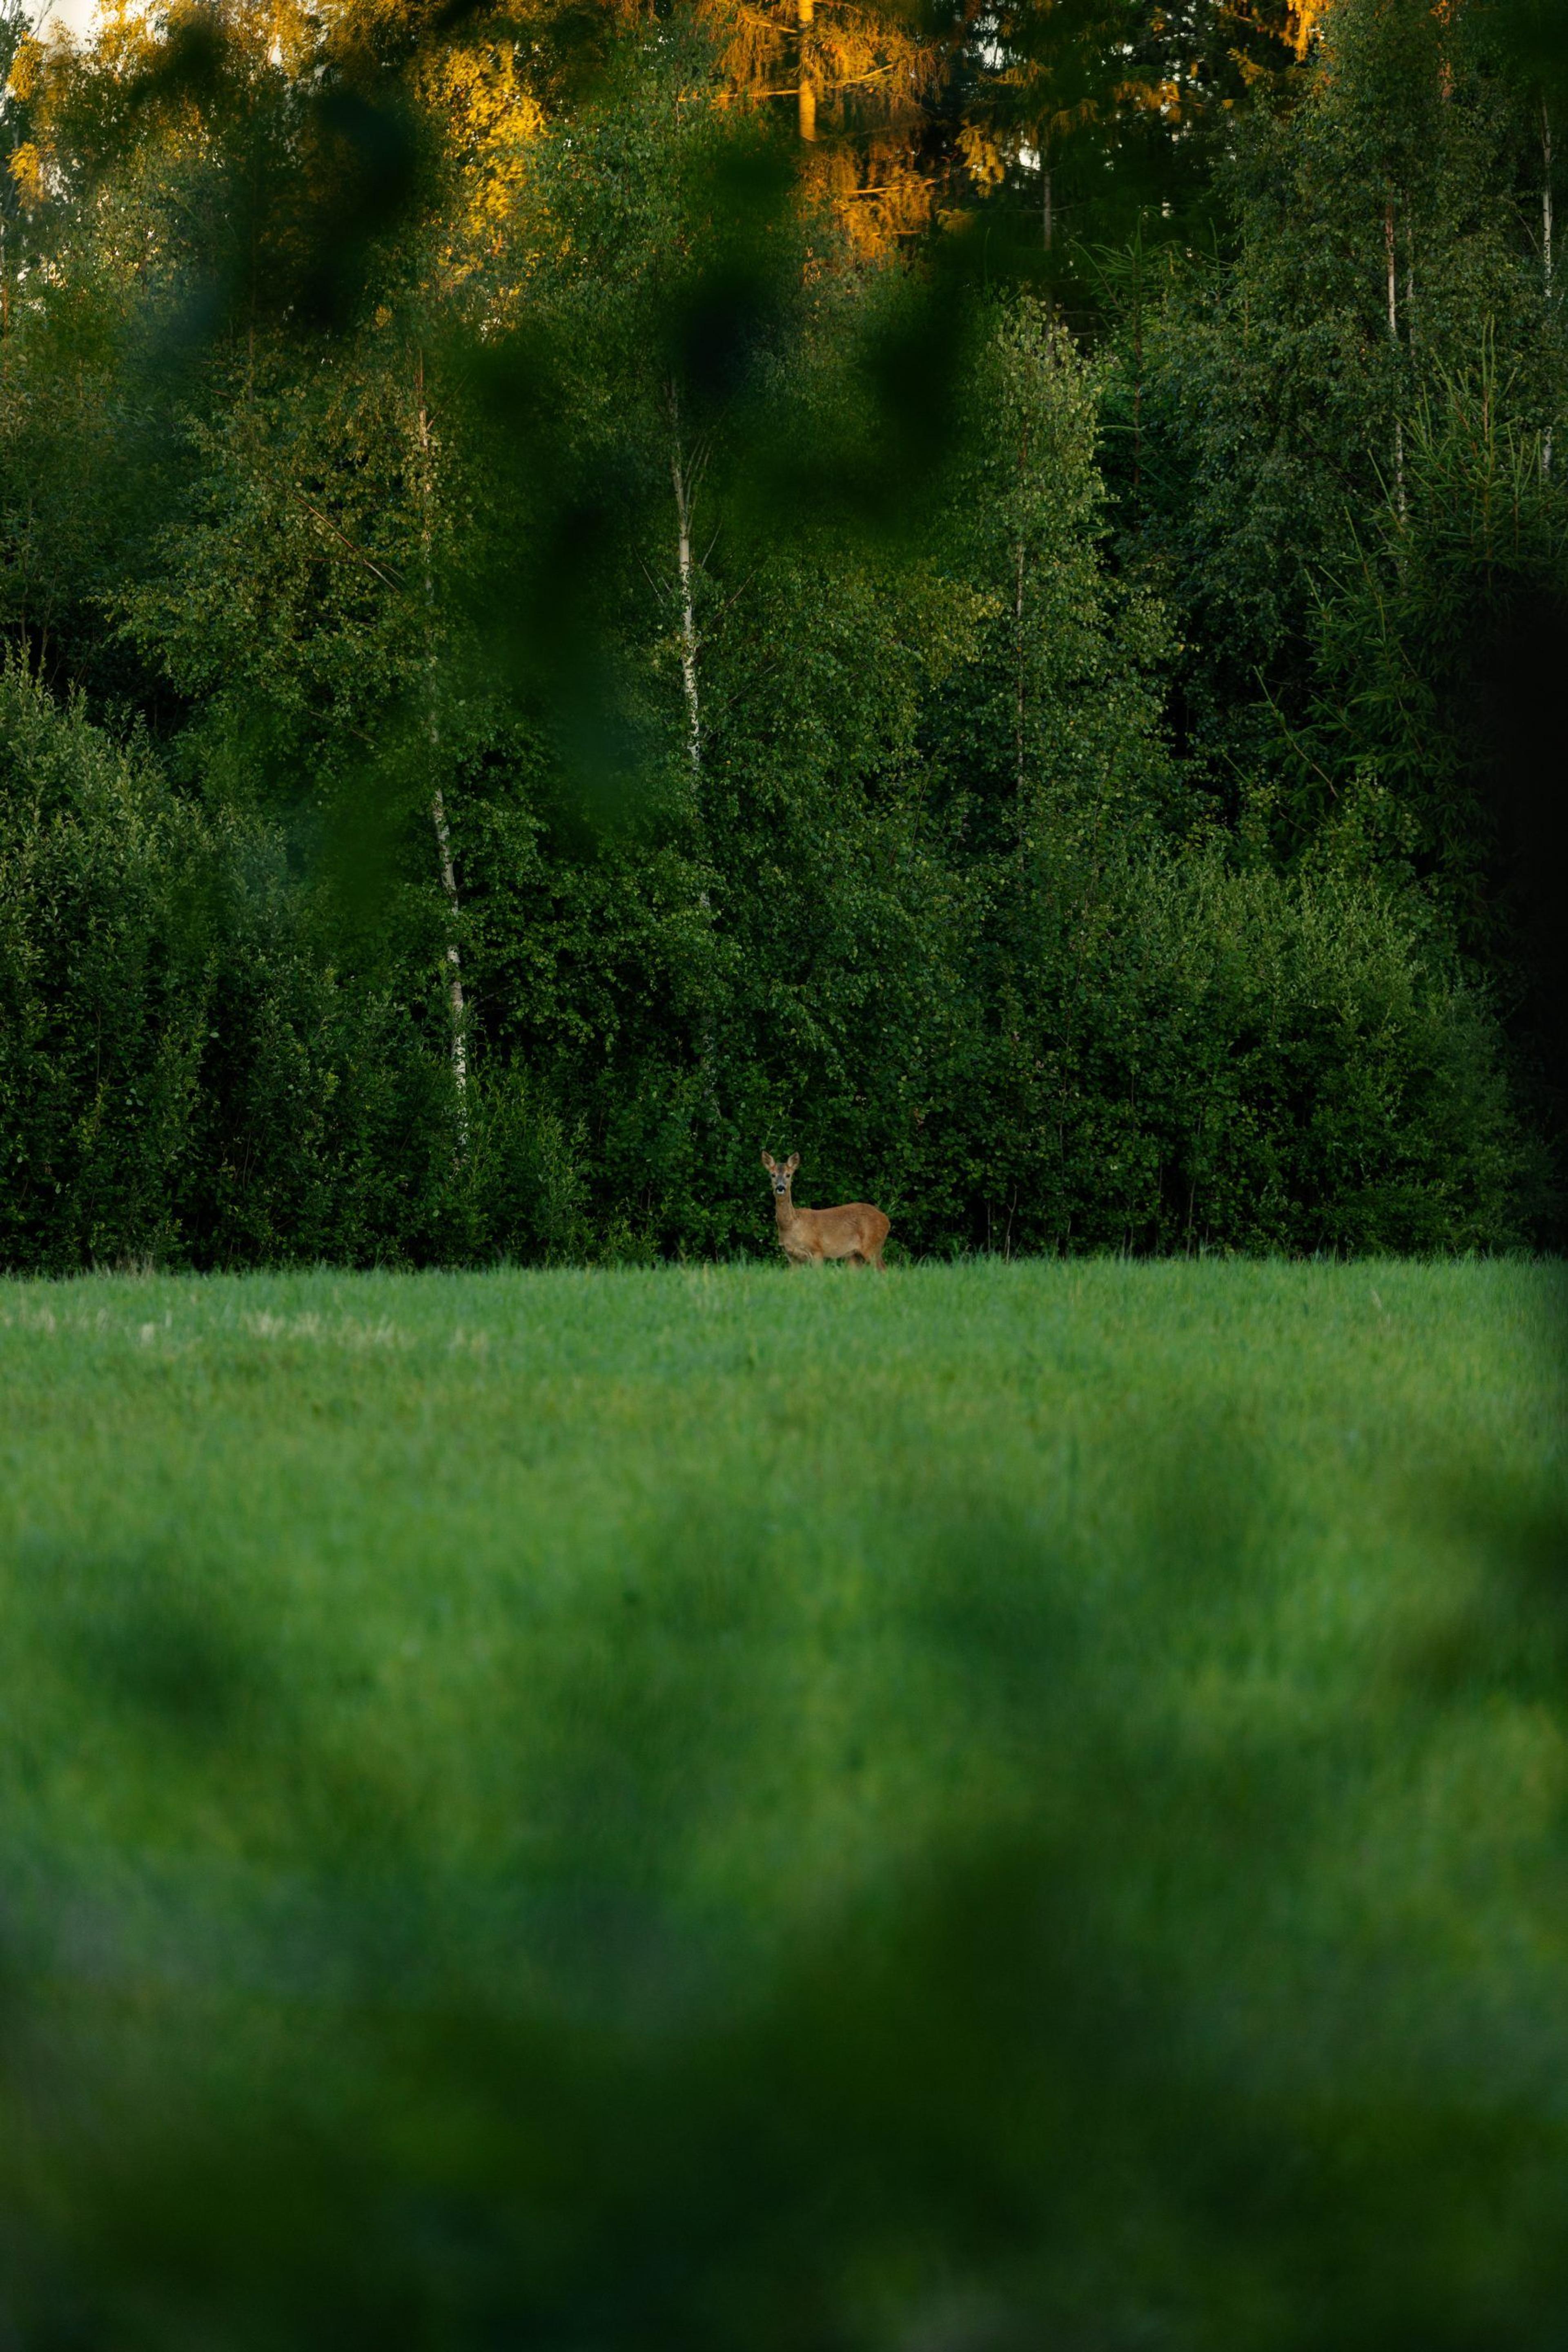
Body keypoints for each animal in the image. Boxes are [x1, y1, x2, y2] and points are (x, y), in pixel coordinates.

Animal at [762, 1152, 893, 1270]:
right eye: (773, 1175)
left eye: (788, 1175)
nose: (780, 1188)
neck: (791, 1225)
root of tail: (886, 1220)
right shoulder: (792, 1256)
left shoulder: (817, 1251)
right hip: (855, 1255)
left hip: (873, 1246)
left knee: (883, 1270)